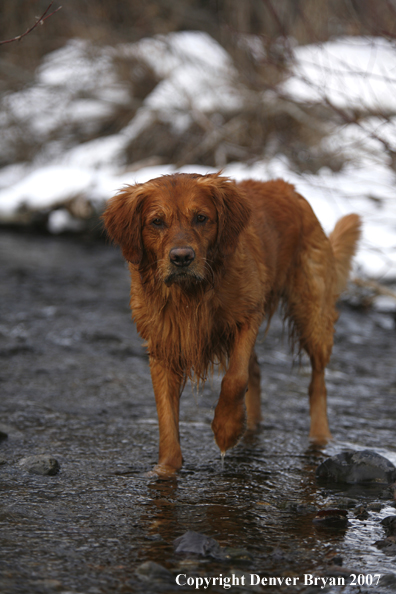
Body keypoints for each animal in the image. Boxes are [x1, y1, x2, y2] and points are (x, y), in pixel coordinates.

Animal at [103, 171, 362, 472]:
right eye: (156, 221)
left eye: (201, 218)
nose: (182, 258)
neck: (192, 294)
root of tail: (289, 186)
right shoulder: (163, 345)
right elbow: (166, 414)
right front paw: (166, 468)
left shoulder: (248, 315)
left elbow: (235, 379)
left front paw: (226, 428)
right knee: (258, 370)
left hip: (312, 312)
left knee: (316, 381)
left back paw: (319, 436)